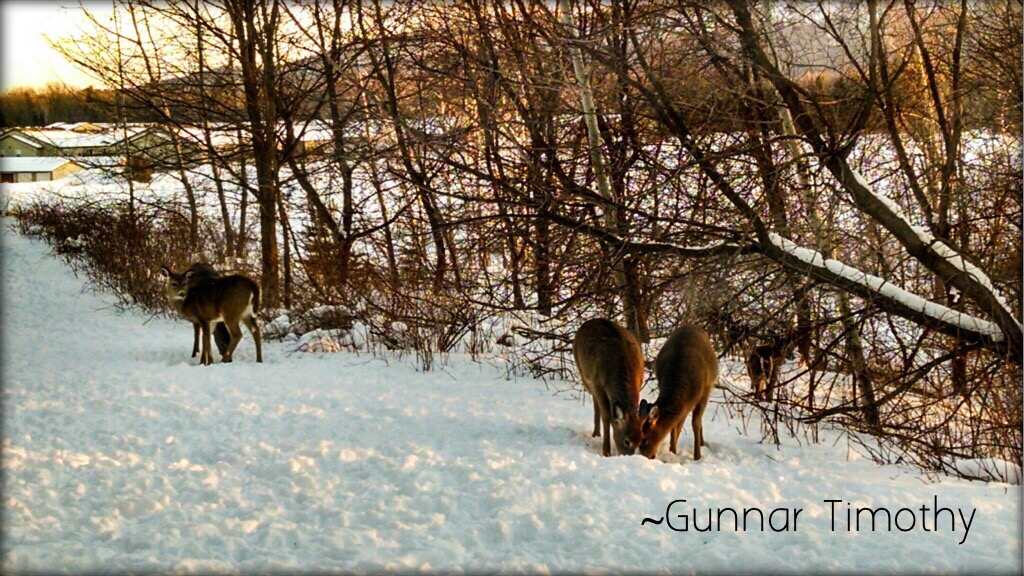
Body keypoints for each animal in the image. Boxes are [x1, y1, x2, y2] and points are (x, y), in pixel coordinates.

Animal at [572, 318, 645, 457]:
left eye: (640, 440)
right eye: (627, 441)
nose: (627, 457)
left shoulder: (639, 383)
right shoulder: (598, 384)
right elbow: (607, 416)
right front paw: (606, 451)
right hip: (584, 375)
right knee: (596, 404)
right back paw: (596, 433)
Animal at [638, 324, 718, 461]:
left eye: (645, 440)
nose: (646, 457)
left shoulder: (703, 393)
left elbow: (695, 423)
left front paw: (697, 456)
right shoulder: (684, 403)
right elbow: (675, 426)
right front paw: (673, 451)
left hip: (709, 386)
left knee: (698, 420)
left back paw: (702, 444)